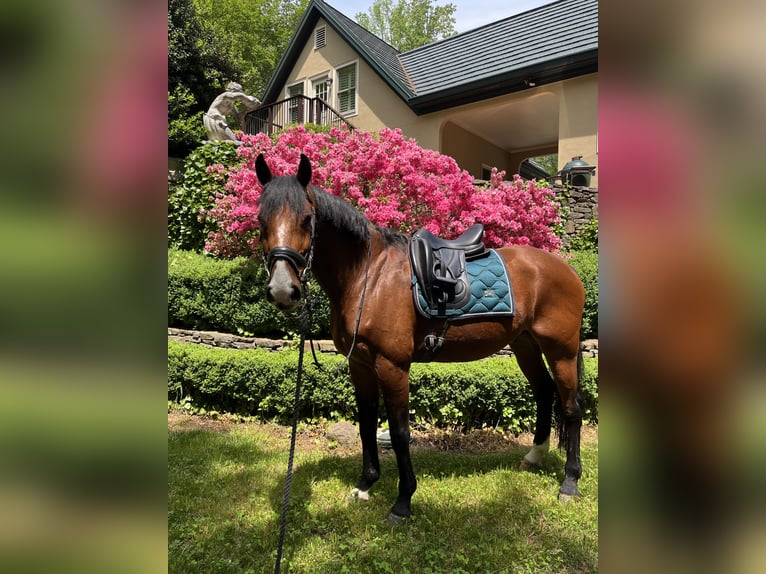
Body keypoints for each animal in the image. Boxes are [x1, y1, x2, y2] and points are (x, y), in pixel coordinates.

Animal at [255, 153, 586, 523]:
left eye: (307, 219)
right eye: (261, 220)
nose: (282, 290)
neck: (369, 276)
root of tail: (566, 270)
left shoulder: (392, 366)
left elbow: (400, 433)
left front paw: (403, 501)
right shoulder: (360, 365)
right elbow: (366, 423)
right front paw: (365, 484)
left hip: (561, 350)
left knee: (571, 408)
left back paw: (569, 483)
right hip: (525, 344)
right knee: (544, 392)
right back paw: (534, 456)